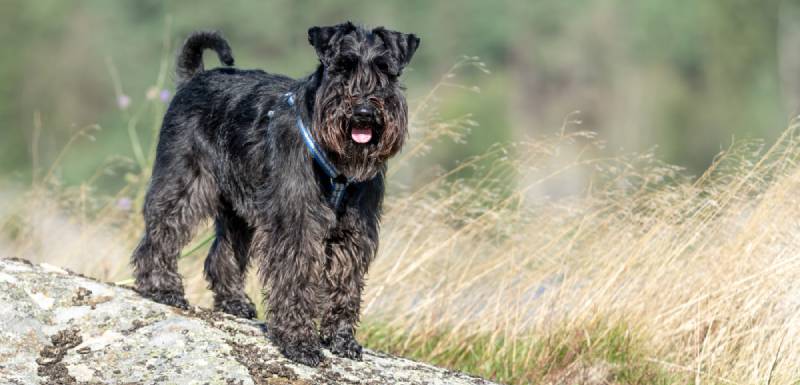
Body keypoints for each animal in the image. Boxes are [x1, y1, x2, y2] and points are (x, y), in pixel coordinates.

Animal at [131, 22, 418, 364]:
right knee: (161, 231)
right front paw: (299, 342)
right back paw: (161, 288)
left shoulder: (353, 232)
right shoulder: (296, 224)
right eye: (341, 67)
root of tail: (194, 78)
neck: (337, 162)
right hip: (185, 182)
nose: (363, 111)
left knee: (221, 254)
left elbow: (345, 285)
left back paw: (234, 302)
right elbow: (296, 279)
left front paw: (342, 339)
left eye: (385, 69)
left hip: (238, 211)